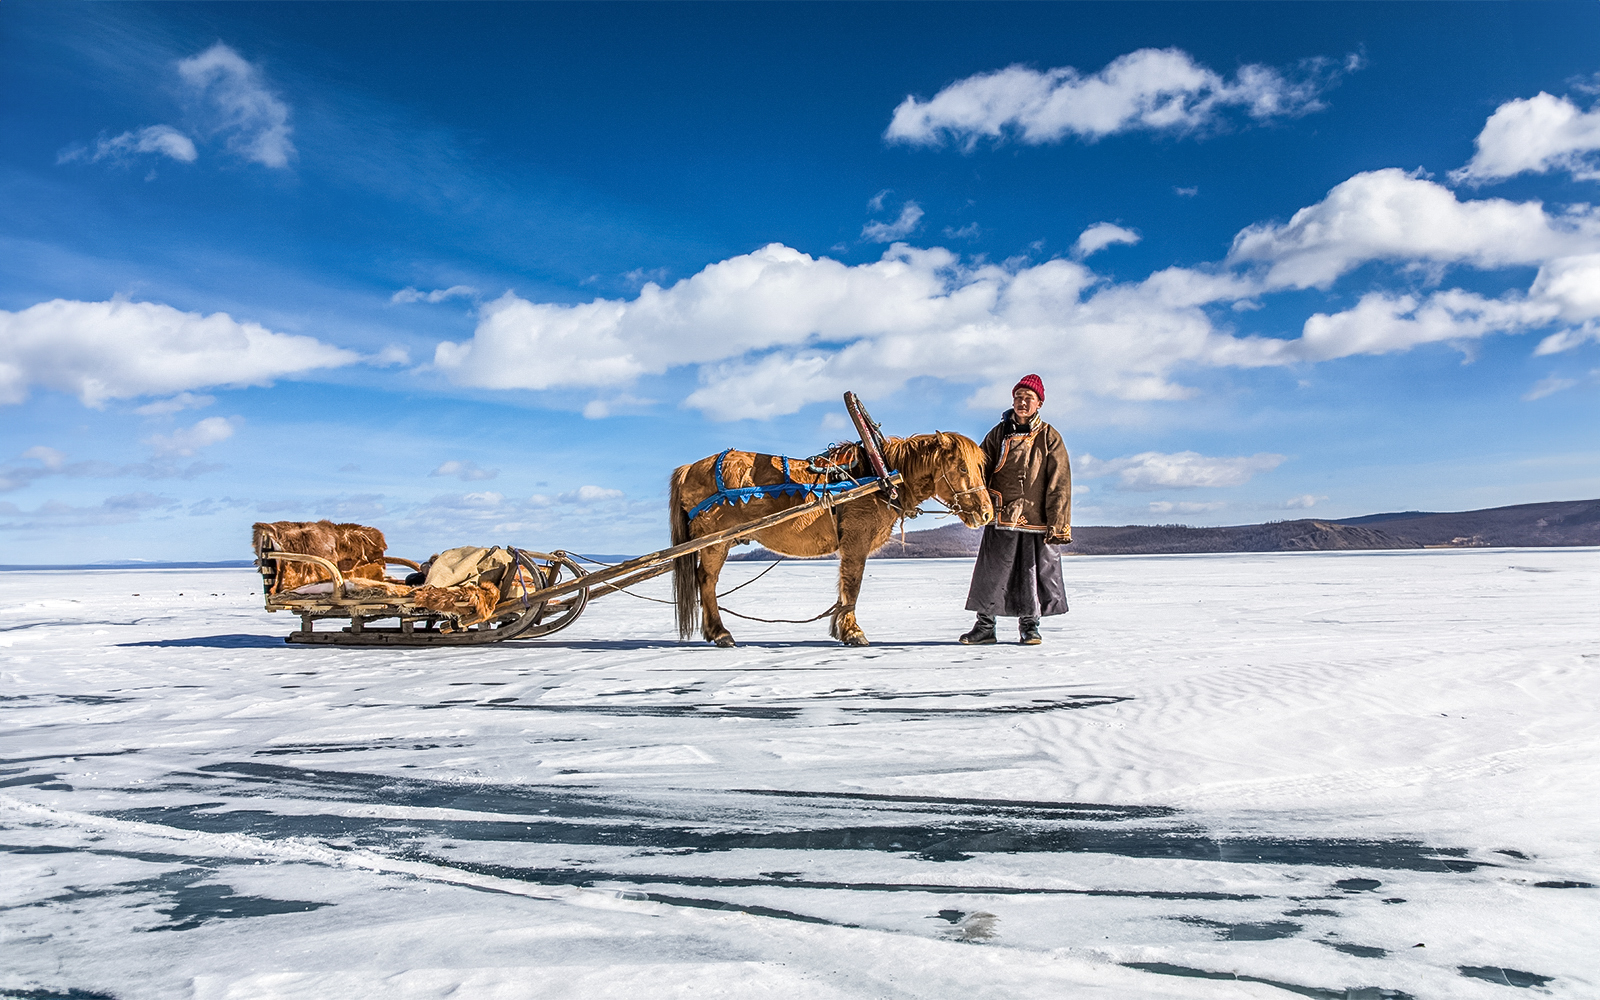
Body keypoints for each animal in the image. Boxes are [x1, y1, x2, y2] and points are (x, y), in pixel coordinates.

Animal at [668, 432, 992, 646]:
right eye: (963, 467)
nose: (987, 513)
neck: (881, 474)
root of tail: (688, 469)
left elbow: (844, 586)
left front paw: (840, 627)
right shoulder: (856, 540)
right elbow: (852, 585)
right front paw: (853, 631)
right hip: (715, 541)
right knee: (707, 581)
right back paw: (720, 632)